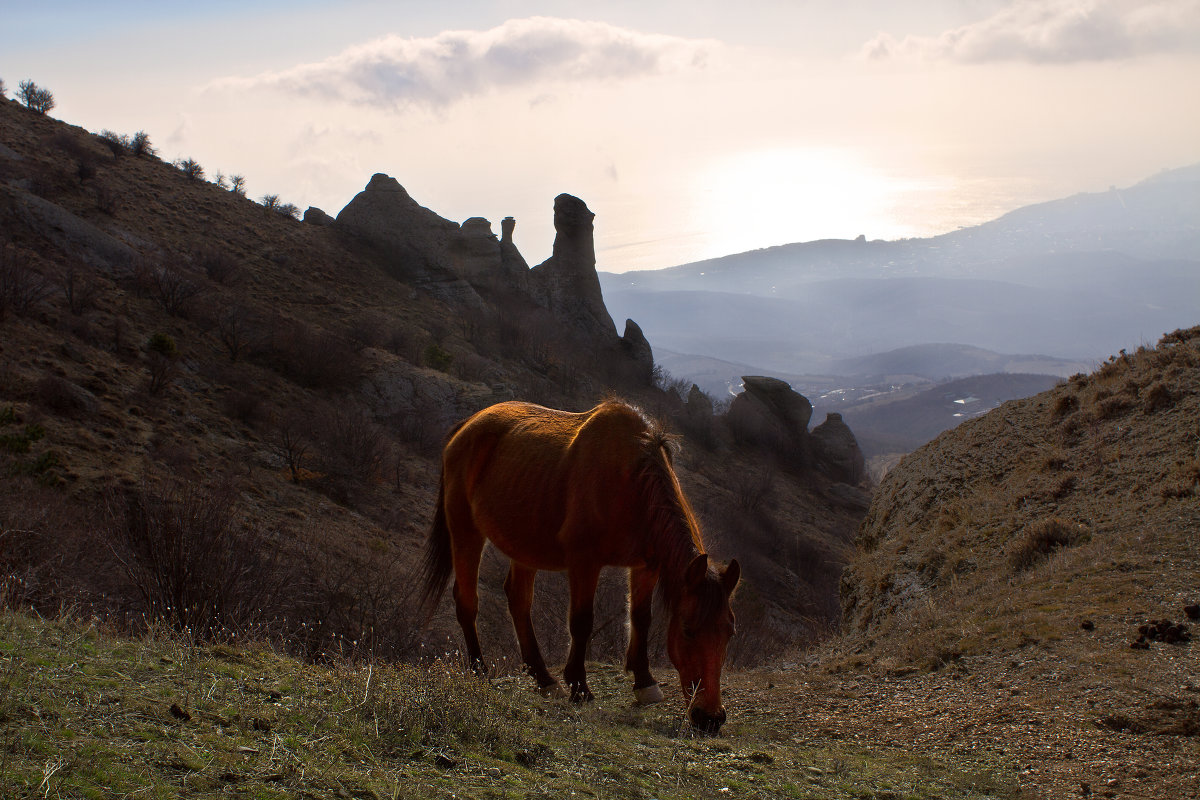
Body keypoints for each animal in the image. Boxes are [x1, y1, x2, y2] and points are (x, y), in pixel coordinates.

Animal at [422, 398, 739, 734]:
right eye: (688, 630)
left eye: (729, 632)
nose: (710, 717)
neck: (630, 481)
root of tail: (466, 426)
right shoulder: (584, 563)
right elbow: (582, 622)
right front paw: (579, 686)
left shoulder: (646, 566)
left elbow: (641, 618)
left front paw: (644, 683)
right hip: (465, 530)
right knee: (467, 600)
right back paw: (479, 670)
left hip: (524, 543)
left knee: (518, 601)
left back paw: (543, 678)